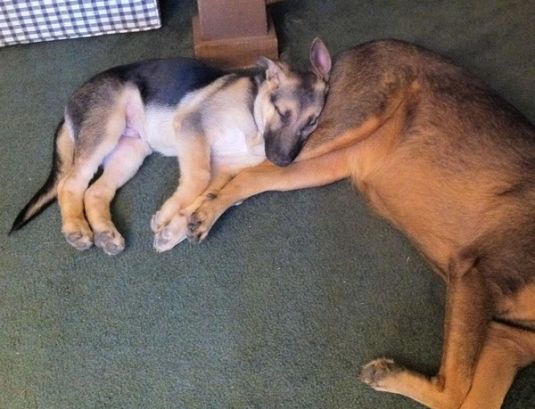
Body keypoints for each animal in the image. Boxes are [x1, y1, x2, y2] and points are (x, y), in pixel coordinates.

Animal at [10, 39, 332, 255]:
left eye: (312, 122)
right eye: (282, 113)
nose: (281, 162)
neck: (253, 120)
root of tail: (68, 106)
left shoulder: (223, 167)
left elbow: (205, 197)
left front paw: (173, 228)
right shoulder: (192, 128)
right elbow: (198, 180)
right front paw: (167, 216)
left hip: (131, 151)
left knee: (95, 191)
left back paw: (105, 233)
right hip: (106, 131)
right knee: (70, 184)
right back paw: (77, 229)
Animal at [185, 39, 535, 408]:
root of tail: (345, 55)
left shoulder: (509, 342)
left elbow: (464, 395)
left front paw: (388, 375)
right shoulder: (478, 275)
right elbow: (454, 390)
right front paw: (386, 373)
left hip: (320, 162)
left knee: (253, 176)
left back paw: (202, 212)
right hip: (341, 127)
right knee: (244, 164)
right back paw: (186, 215)